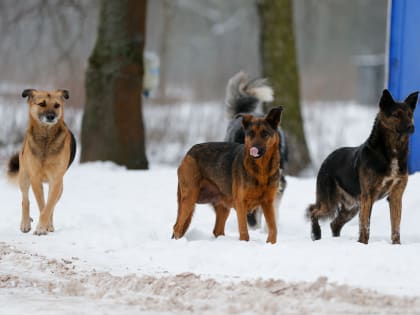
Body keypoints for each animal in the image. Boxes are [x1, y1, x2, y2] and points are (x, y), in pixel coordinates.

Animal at [7, 89, 76, 235]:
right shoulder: (35, 178)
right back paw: (25, 223)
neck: (46, 138)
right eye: (42, 104)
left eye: (56, 105)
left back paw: (49, 225)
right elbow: (42, 205)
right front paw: (41, 226)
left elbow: (48, 206)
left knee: (51, 205)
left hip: (59, 188)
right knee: (25, 200)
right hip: (24, 177)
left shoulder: (56, 181)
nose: (51, 117)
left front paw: (43, 227)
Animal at [172, 106, 284, 244]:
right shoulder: (241, 204)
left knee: (217, 230)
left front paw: (271, 244)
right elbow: (244, 232)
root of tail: (188, 153)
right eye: (251, 134)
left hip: (222, 207)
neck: (262, 170)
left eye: (265, 134)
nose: (254, 148)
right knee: (177, 227)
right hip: (190, 198)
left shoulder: (268, 203)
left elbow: (273, 228)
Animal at [306, 90, 418, 246]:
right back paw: (316, 234)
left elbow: (396, 225)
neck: (390, 151)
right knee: (314, 212)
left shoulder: (396, 195)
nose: (411, 127)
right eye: (396, 114)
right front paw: (363, 244)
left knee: (334, 224)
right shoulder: (368, 196)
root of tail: (327, 159)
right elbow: (365, 225)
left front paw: (397, 245)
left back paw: (336, 240)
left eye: (410, 114)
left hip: (352, 207)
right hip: (330, 202)